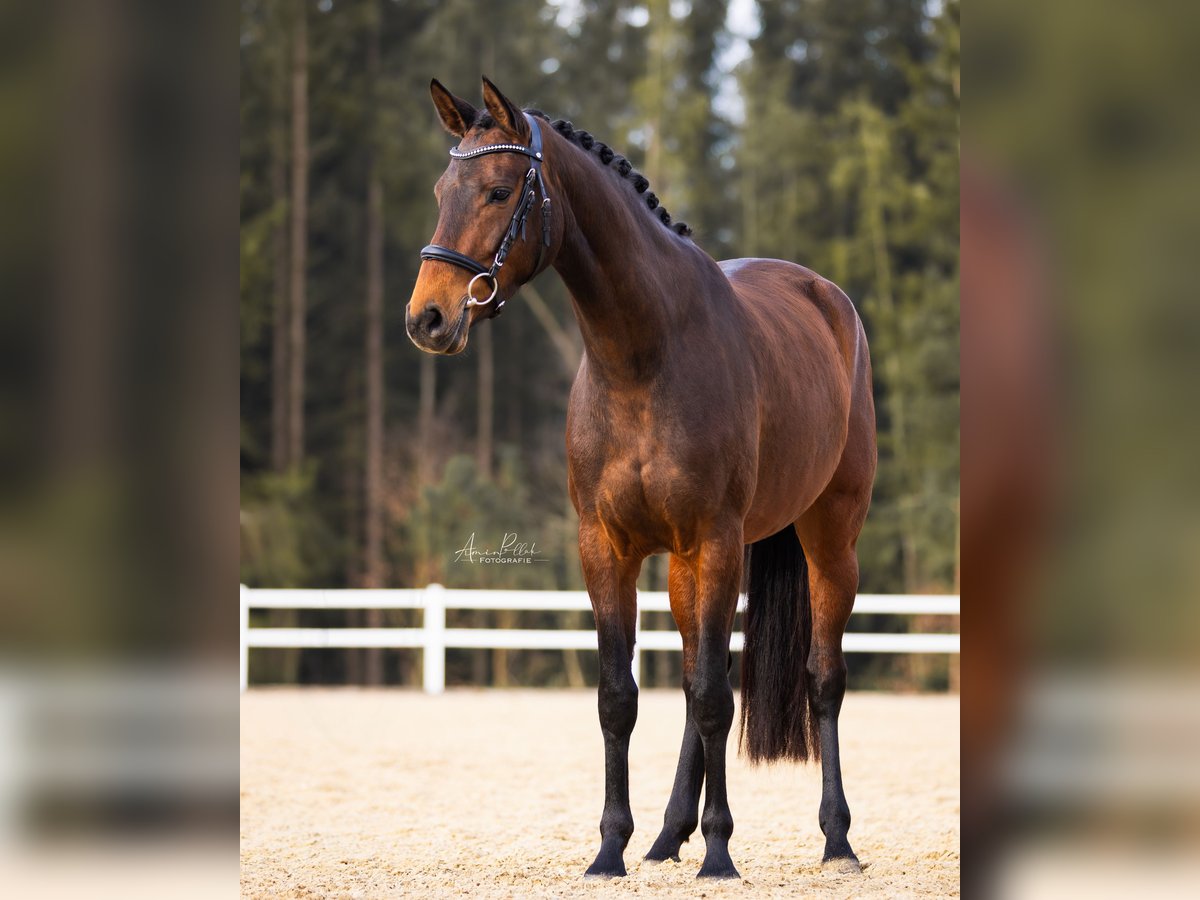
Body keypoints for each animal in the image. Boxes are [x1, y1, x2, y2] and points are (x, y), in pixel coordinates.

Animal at [408, 77, 878, 883]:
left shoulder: (713, 541)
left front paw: (719, 853)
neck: (643, 356)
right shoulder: (608, 548)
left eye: (499, 190)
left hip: (827, 539)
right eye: (443, 190)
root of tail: (828, 300)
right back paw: (666, 836)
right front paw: (611, 848)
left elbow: (717, 697)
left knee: (820, 680)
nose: (428, 318)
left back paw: (836, 839)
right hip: (688, 566)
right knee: (694, 681)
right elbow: (620, 697)